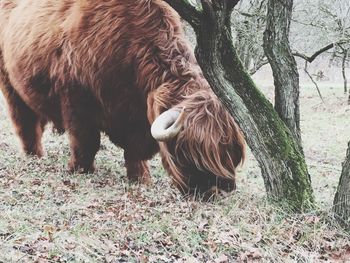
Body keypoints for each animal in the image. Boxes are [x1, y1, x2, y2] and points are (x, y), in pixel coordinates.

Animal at [0, 0, 245, 197]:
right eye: (192, 153)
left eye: (230, 152)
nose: (222, 189)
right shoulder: (76, 100)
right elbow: (87, 141)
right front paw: (80, 169)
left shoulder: (136, 118)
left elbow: (134, 152)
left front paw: (141, 178)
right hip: (10, 83)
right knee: (25, 122)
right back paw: (34, 155)